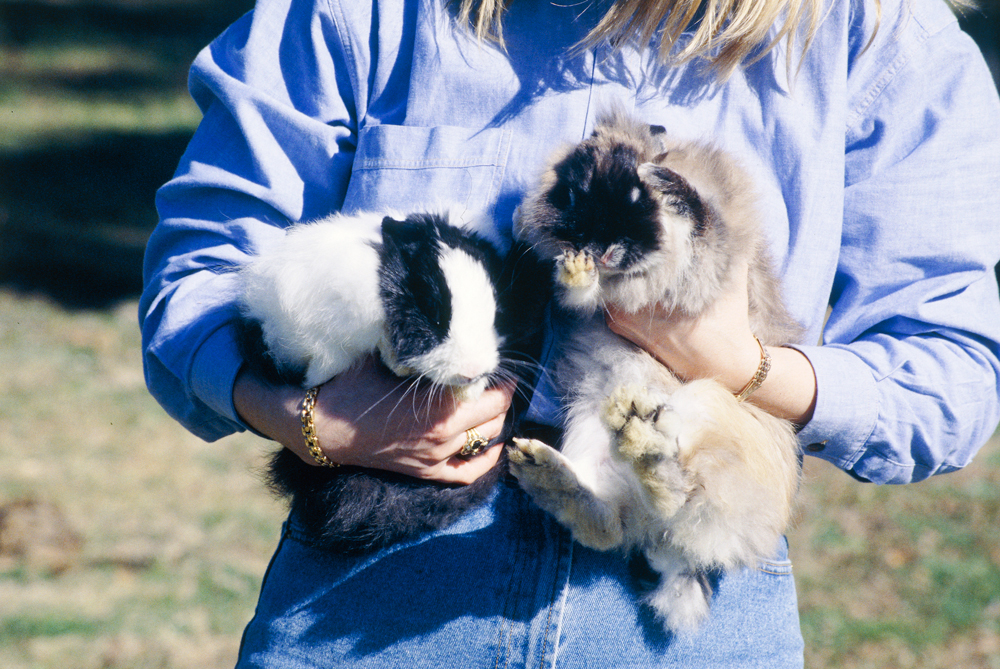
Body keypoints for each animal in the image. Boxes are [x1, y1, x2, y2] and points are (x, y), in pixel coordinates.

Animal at [508, 111, 804, 632]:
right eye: (574, 192)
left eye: (637, 197)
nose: (597, 245)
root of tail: (675, 551)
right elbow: (580, 292)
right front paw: (577, 269)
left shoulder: (708, 264)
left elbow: (701, 227)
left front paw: (674, 189)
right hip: (588, 424)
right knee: (608, 524)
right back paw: (548, 470)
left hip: (705, 406)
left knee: (678, 492)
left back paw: (642, 447)